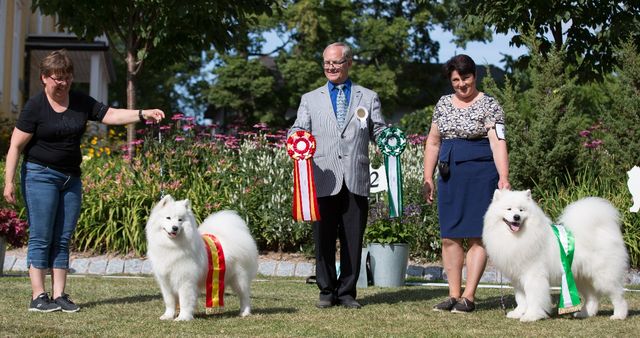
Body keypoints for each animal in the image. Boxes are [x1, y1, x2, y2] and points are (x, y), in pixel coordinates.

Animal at [482, 190, 628, 322]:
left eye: (521, 210)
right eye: (509, 209)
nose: (516, 217)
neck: (517, 237)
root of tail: (603, 230)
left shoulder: (533, 276)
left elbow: (533, 298)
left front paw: (531, 316)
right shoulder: (517, 278)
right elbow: (521, 298)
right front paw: (518, 313)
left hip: (604, 276)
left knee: (617, 296)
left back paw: (619, 315)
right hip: (581, 277)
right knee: (592, 297)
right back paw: (585, 313)